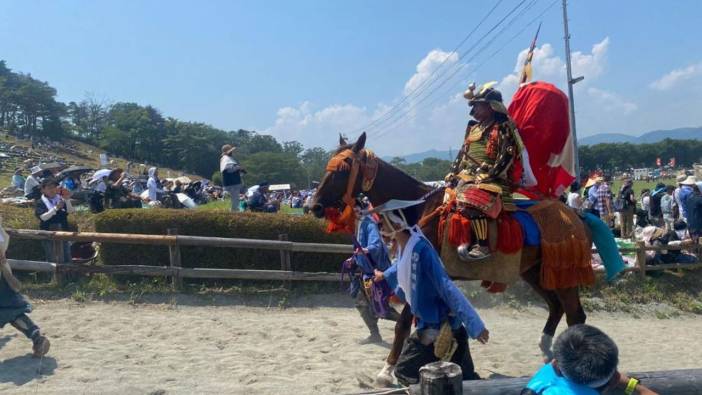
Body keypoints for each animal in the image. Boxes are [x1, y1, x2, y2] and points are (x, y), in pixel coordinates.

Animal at [314, 135, 588, 386]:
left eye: (341, 170)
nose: (315, 205)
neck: (417, 209)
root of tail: (573, 214)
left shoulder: (421, 270)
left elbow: (403, 323)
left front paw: (387, 370)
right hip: (535, 271)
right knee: (556, 306)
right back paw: (546, 350)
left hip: (562, 272)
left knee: (575, 315)